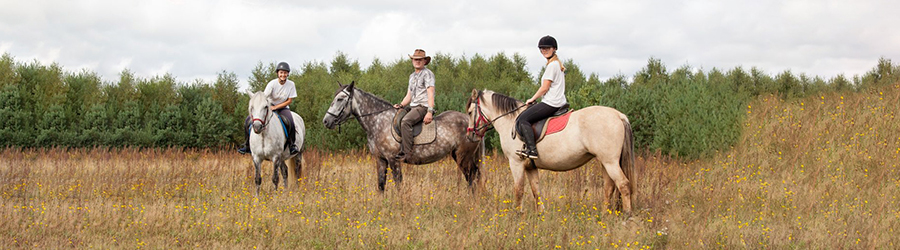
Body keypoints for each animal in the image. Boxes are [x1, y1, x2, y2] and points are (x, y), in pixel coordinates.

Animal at [320, 82, 482, 191]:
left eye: (340, 99)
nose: (326, 121)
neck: (378, 121)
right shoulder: (381, 159)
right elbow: (381, 185)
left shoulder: (393, 159)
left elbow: (398, 184)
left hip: (463, 156)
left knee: (472, 176)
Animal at [468, 89, 636, 214]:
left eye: (470, 112)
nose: (470, 136)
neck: (510, 121)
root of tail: (619, 115)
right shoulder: (530, 167)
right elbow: (536, 190)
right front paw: (541, 214)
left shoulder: (516, 163)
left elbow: (519, 190)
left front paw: (517, 214)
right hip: (605, 162)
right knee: (609, 187)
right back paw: (604, 215)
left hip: (610, 162)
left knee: (623, 184)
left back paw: (627, 215)